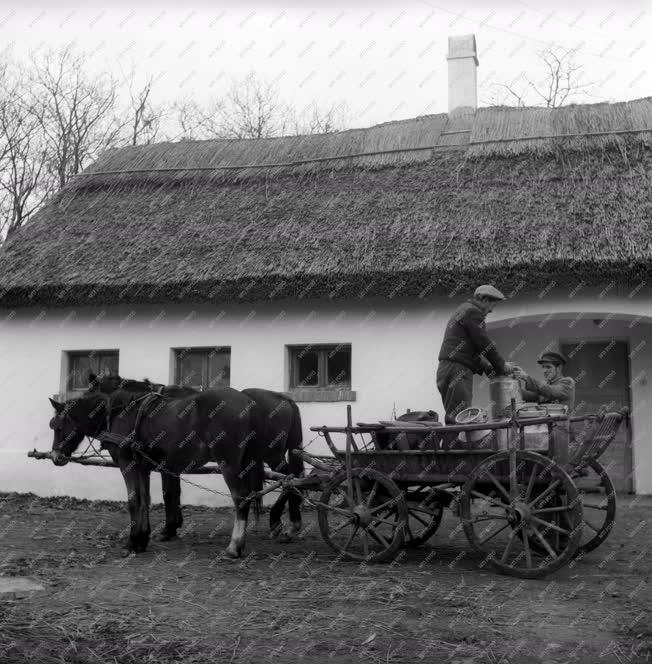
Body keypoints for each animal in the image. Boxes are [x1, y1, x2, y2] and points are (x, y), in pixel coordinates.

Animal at [49, 386, 264, 556]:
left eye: (57, 427)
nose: (55, 457)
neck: (118, 415)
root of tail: (249, 402)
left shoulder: (127, 464)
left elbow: (134, 501)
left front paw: (133, 541)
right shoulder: (143, 467)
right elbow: (145, 500)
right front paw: (142, 539)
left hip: (229, 464)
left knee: (240, 499)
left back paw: (234, 547)